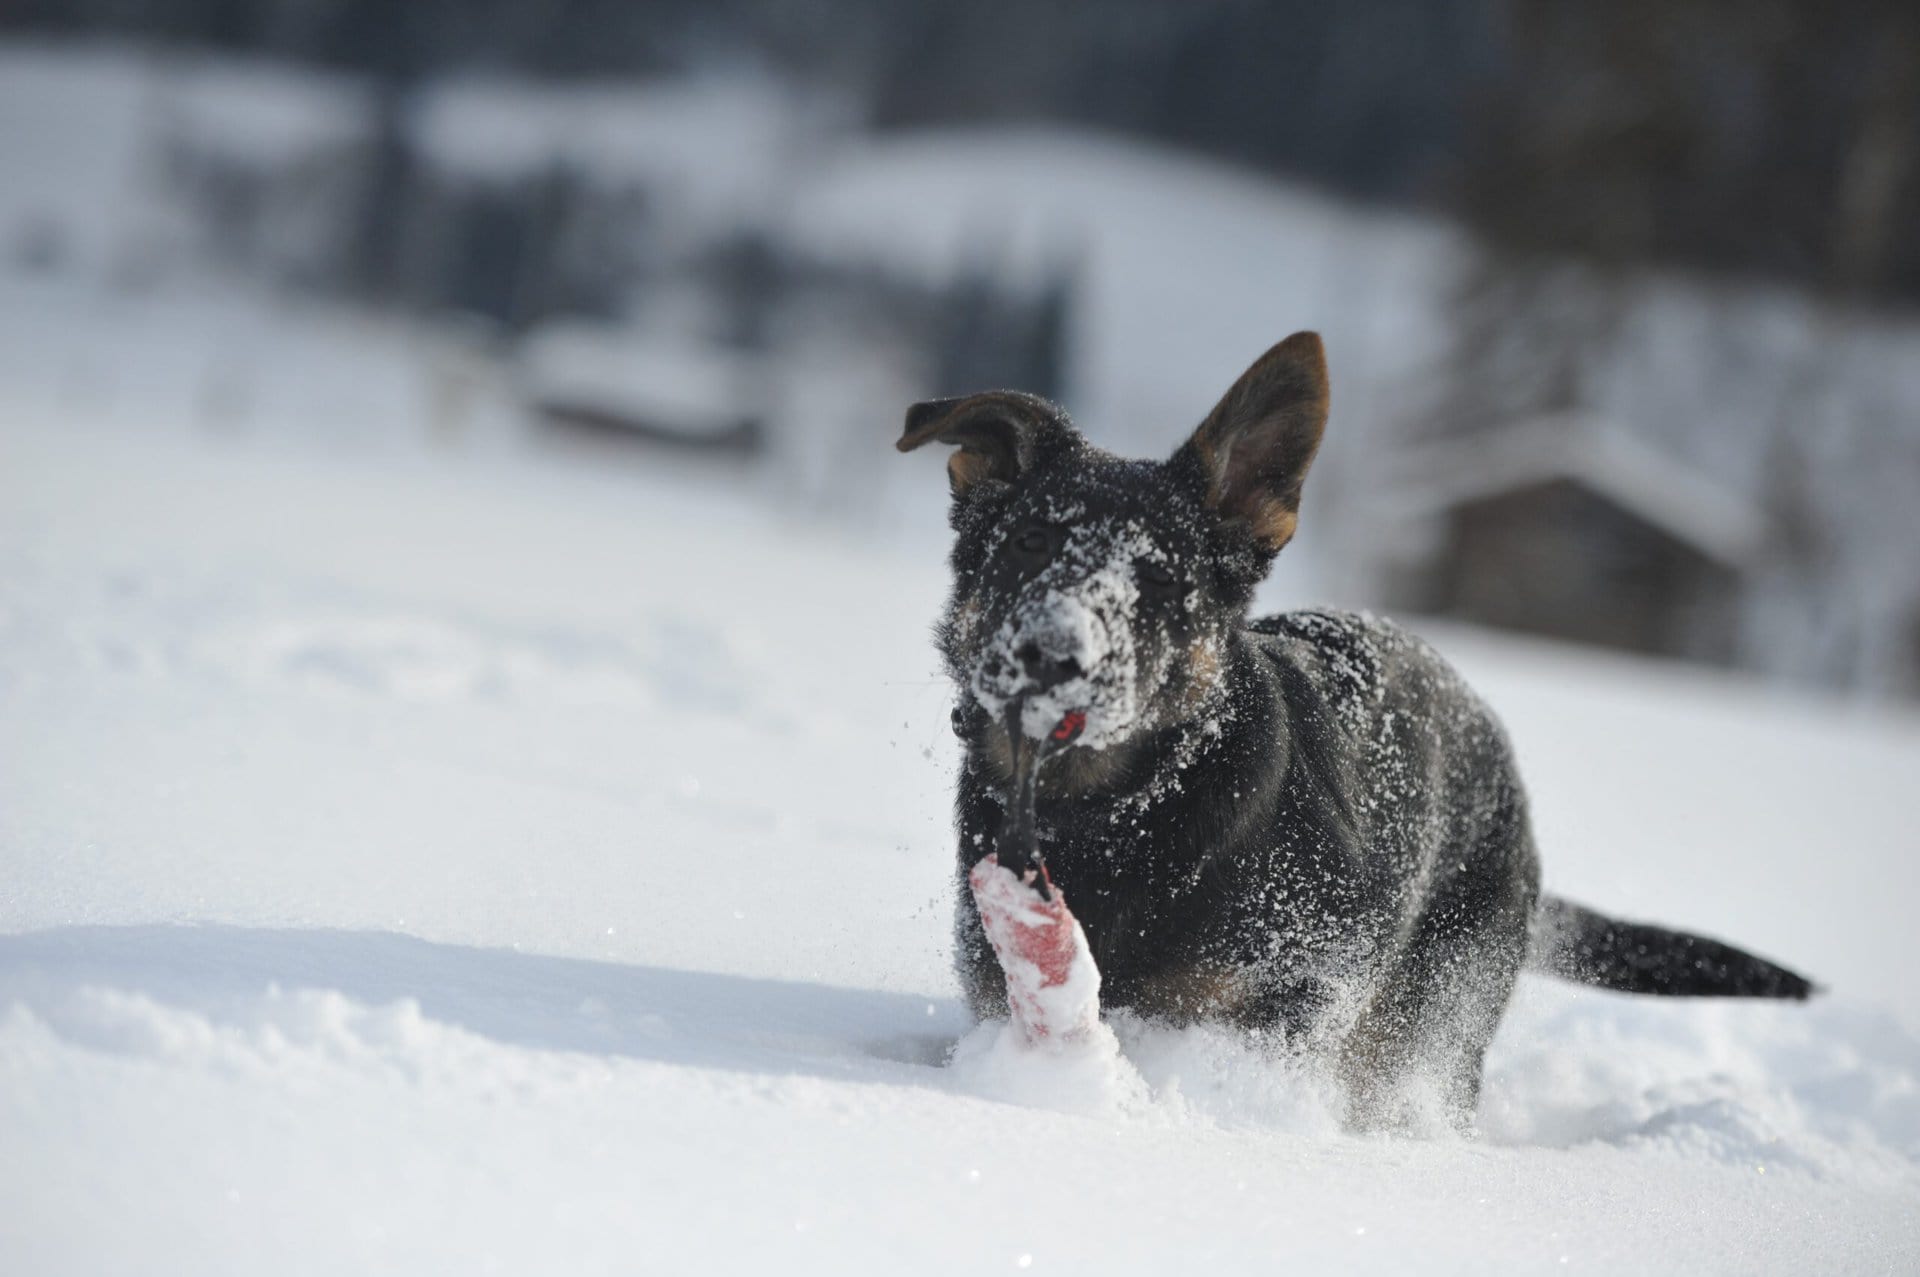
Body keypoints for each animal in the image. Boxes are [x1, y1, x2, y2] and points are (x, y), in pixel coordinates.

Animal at [899, 331, 1812, 1128]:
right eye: (1027, 540)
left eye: (1159, 580)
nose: (1050, 653)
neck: (1119, 813)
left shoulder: (1291, 1001)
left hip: (1426, 1026)